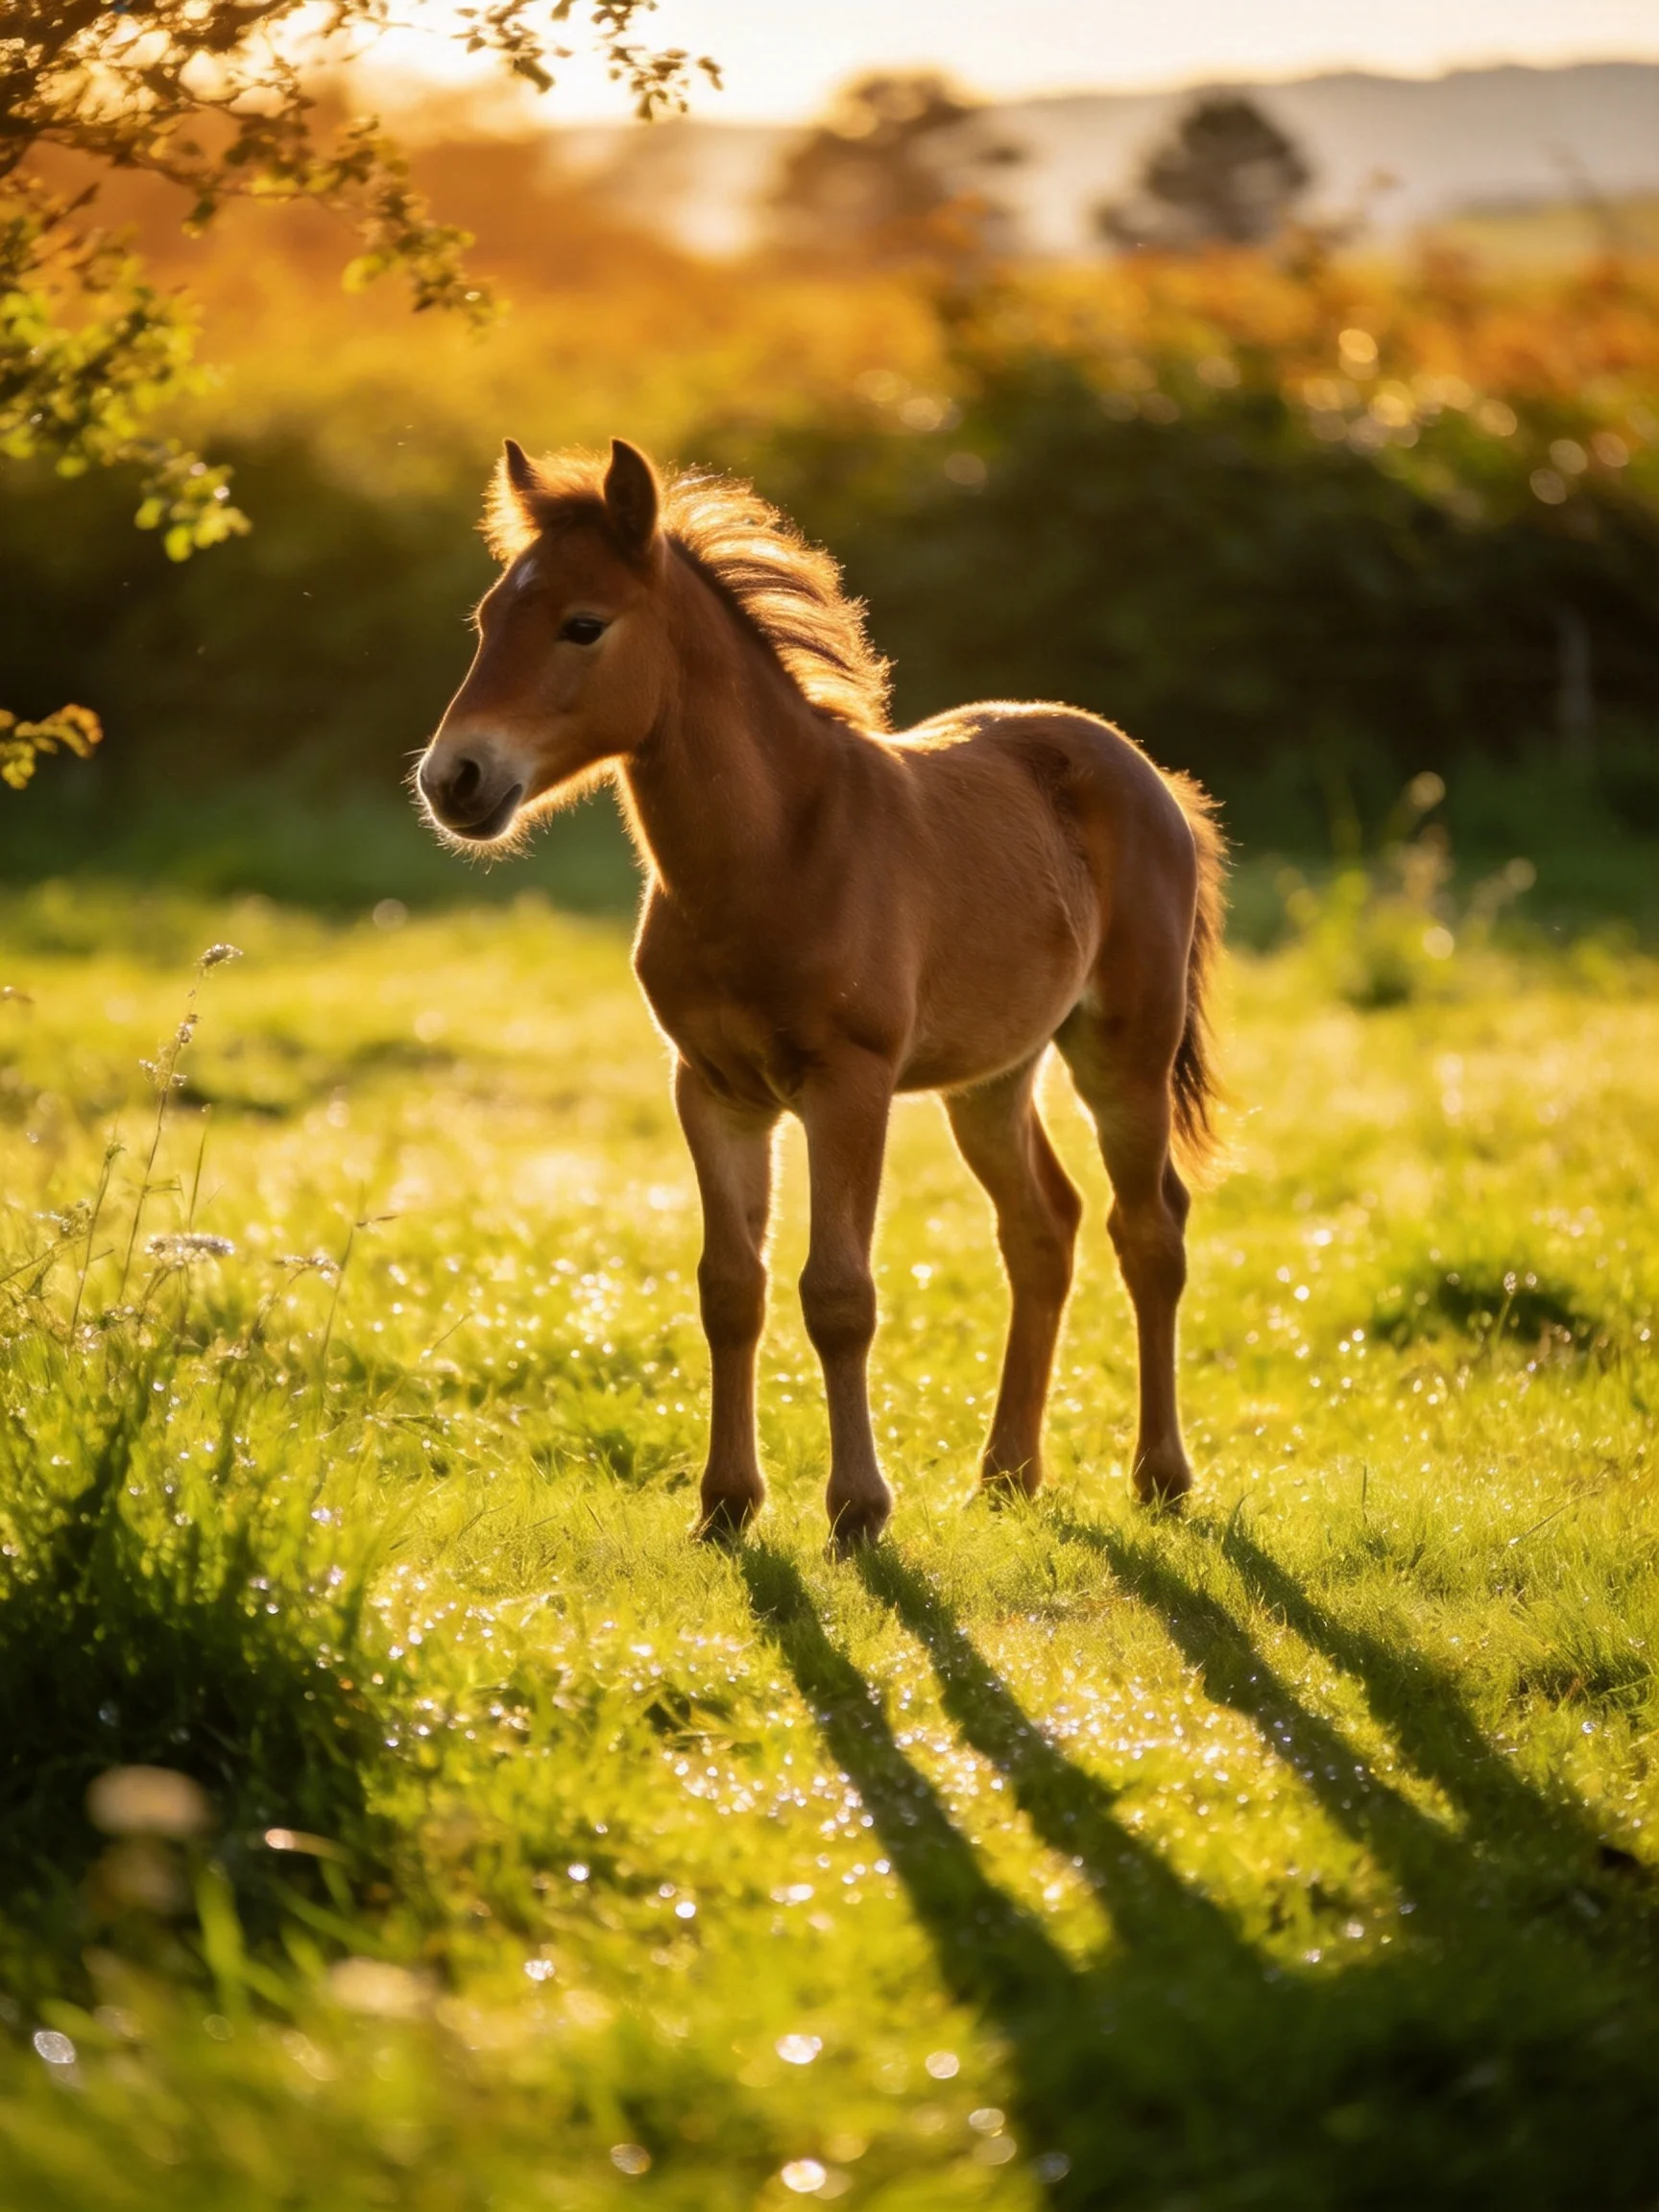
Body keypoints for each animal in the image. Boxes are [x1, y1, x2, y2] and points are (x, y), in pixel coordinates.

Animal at [416, 437, 1225, 1546]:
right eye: (488, 619)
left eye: (583, 624)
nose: (453, 779)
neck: (774, 855)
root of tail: (1147, 773)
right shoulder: (713, 1089)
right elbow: (731, 1288)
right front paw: (725, 1504)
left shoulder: (850, 1086)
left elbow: (838, 1293)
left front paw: (857, 1511)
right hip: (992, 1073)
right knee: (1042, 1229)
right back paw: (1007, 1473)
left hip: (1124, 1051)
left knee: (1149, 1232)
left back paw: (1161, 1476)